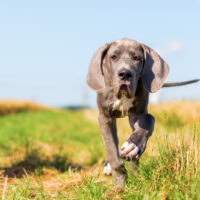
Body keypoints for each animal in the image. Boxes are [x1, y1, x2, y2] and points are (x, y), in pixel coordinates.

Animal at [86, 38, 199, 188]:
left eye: (136, 58)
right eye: (113, 57)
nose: (125, 74)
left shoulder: (137, 114)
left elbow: (148, 120)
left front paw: (132, 147)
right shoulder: (105, 117)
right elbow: (111, 148)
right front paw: (119, 184)